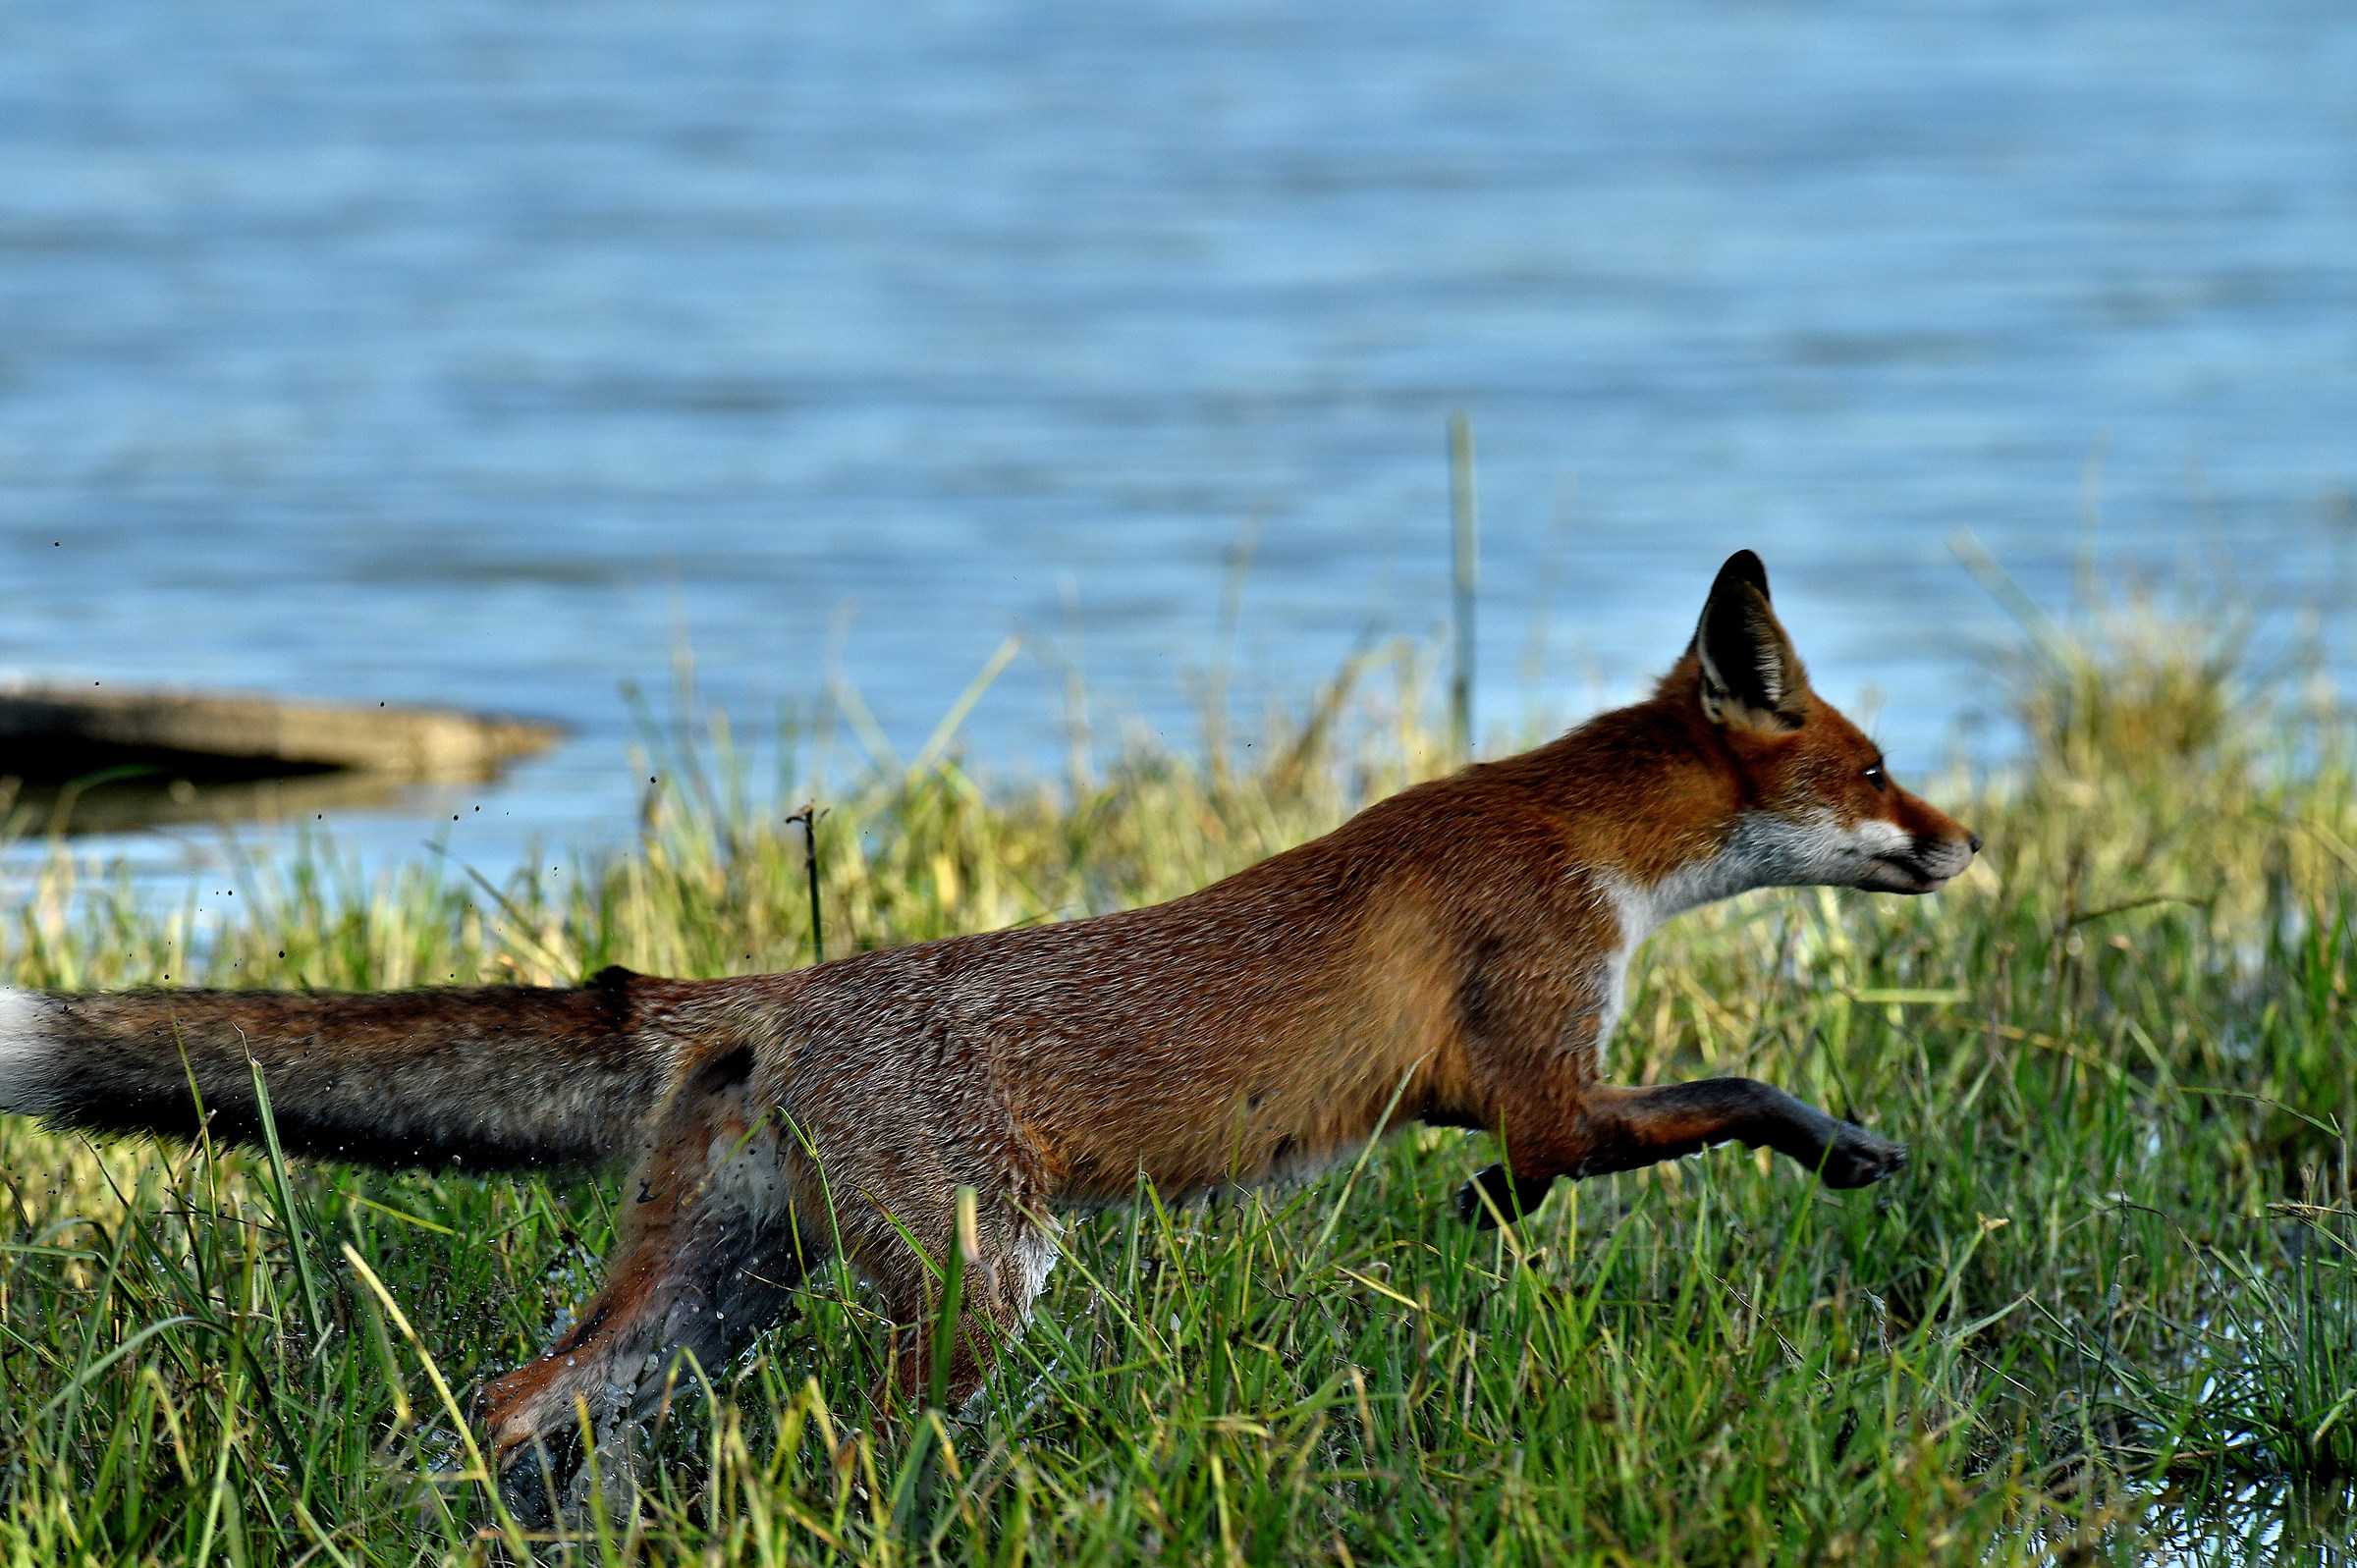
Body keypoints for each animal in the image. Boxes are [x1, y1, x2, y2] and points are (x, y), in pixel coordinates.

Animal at [0, 551, 1975, 1520]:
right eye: (1879, 767)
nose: (1972, 843)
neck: (1589, 843)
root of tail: (769, 995)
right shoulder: (1551, 1062)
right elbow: (1716, 1093)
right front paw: (1835, 1145)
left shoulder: (1478, 1088)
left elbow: (1532, 1165)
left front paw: (1494, 1218)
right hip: (973, 1286)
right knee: (843, 1448)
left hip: (716, 1292)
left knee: (520, 1400)